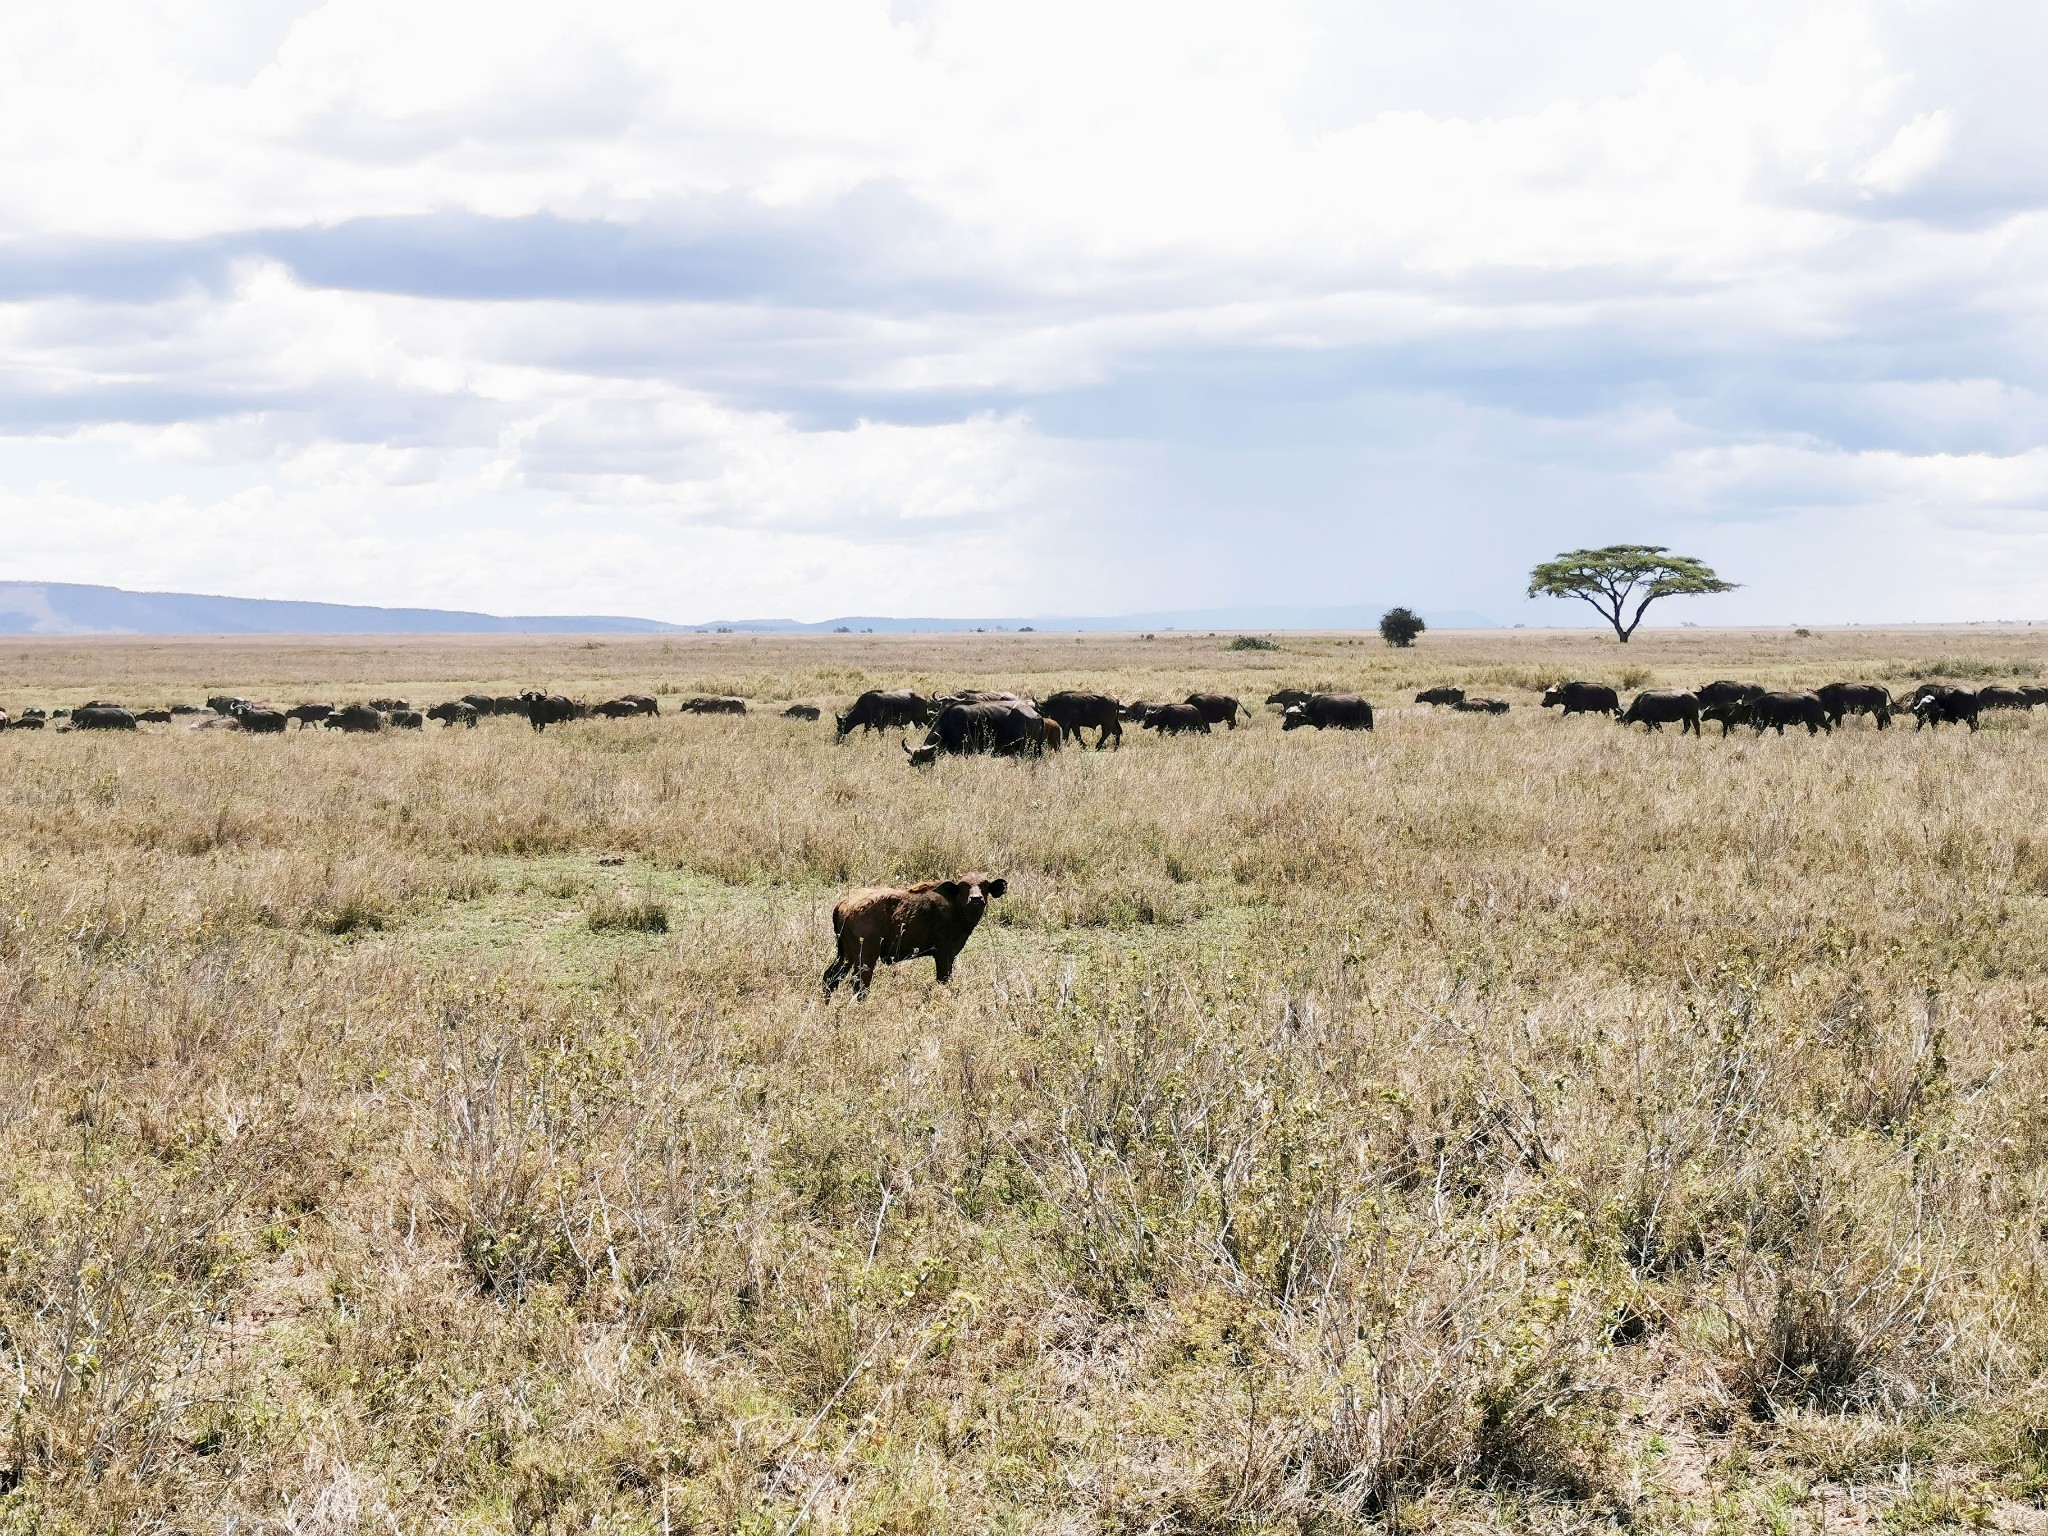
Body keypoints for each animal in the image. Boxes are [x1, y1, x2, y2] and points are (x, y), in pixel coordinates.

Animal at [819, 872, 1003, 1003]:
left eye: (984, 885)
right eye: (963, 886)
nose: (976, 899)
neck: (955, 907)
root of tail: (844, 904)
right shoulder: (944, 955)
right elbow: (943, 980)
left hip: (845, 955)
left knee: (831, 977)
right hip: (865, 956)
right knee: (860, 985)